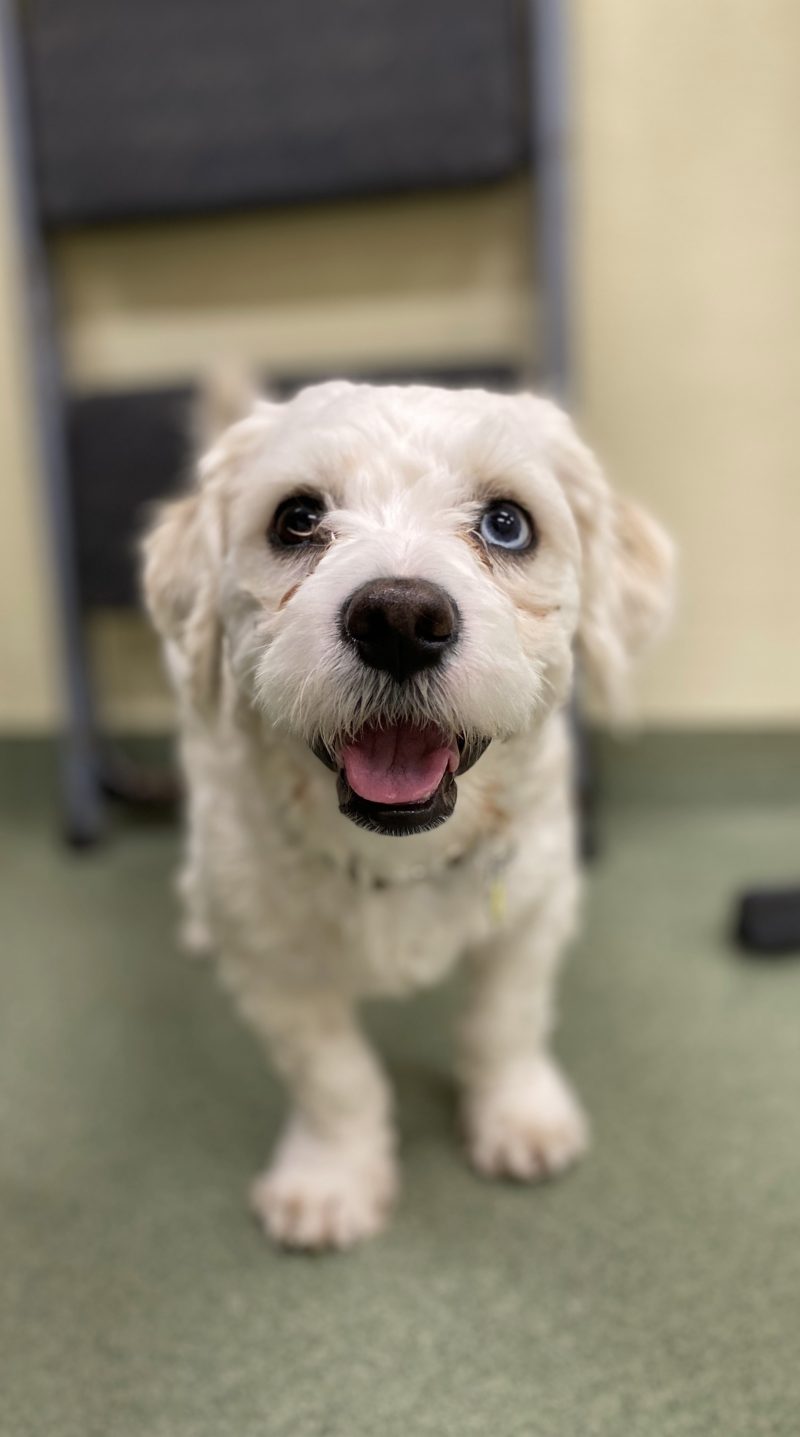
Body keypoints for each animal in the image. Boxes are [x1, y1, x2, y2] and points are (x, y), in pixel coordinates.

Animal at [143, 379, 675, 1247]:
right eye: (296, 517)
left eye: (507, 522)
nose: (398, 619)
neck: (396, 853)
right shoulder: (277, 974)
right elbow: (335, 1078)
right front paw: (330, 1177)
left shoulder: (531, 916)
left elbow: (504, 1024)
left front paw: (517, 1118)